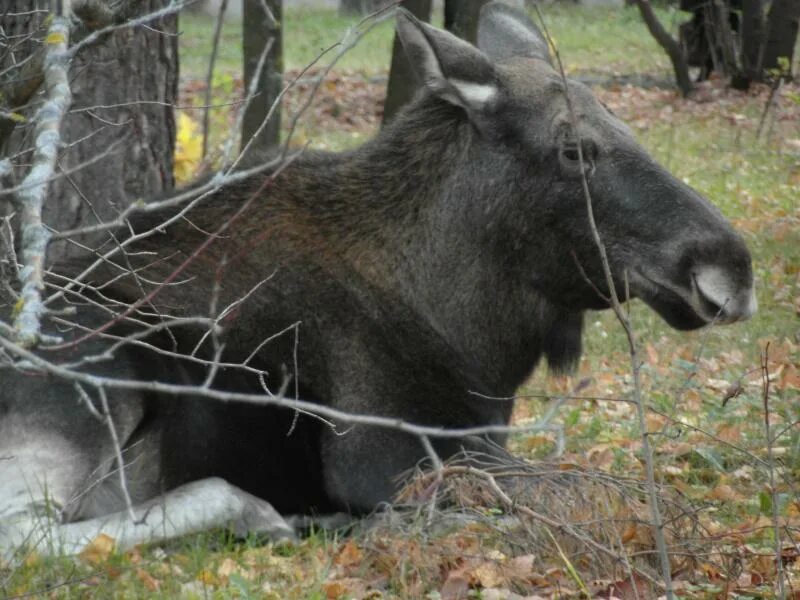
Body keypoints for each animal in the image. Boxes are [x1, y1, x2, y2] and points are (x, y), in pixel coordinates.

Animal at [0, 3, 756, 556]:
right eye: (575, 148)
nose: (730, 266)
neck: (472, 337)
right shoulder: (388, 458)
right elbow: (583, 493)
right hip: (98, 375)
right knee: (32, 537)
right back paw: (259, 513)